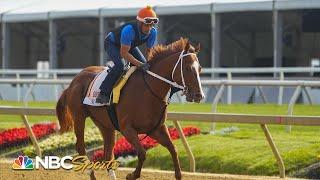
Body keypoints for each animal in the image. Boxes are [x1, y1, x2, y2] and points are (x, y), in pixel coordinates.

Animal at [55, 37, 205, 179]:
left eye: (200, 69)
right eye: (187, 68)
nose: (199, 95)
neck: (148, 90)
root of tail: (73, 81)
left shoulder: (156, 129)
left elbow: (173, 149)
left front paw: (178, 174)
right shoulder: (127, 129)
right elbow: (142, 153)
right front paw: (131, 175)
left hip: (105, 124)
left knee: (107, 153)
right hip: (79, 117)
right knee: (81, 147)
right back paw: (91, 174)